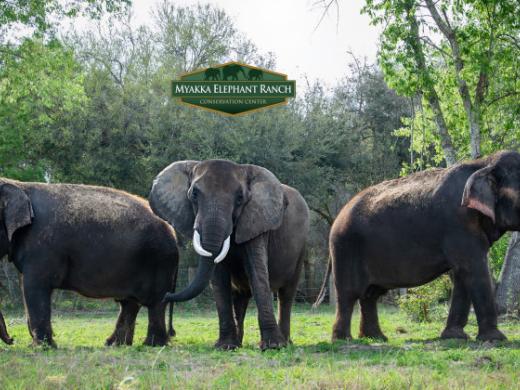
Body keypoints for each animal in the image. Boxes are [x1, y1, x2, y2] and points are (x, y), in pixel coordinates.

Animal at [0, 178, 179, 346]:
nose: (12, 339)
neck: (19, 186)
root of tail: (173, 233)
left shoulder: (42, 245)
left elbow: (34, 286)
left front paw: (41, 347)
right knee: (129, 303)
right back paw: (114, 344)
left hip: (159, 262)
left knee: (155, 302)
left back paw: (152, 344)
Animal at [148, 158, 306, 350]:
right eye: (194, 194)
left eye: (240, 198)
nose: (166, 295)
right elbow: (219, 277)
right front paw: (225, 346)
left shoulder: (256, 221)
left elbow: (257, 273)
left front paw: (273, 346)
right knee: (240, 297)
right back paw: (239, 342)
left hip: (300, 250)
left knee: (287, 294)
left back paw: (286, 342)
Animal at [330, 151, 520, 342]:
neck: (484, 163)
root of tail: (339, 213)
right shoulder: (459, 224)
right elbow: (473, 269)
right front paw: (496, 339)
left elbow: (462, 273)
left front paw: (454, 337)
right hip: (345, 247)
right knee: (349, 294)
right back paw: (343, 339)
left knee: (371, 295)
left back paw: (376, 338)